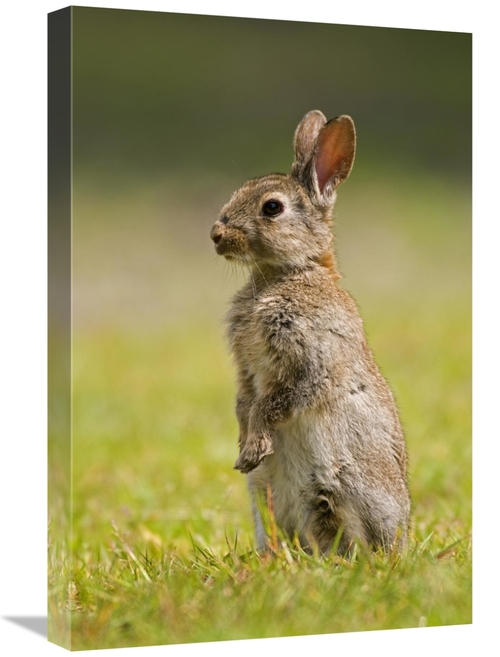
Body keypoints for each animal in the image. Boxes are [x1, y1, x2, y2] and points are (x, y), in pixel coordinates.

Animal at [210, 110, 410, 555]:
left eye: (272, 207)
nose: (216, 235)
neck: (290, 271)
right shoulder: (246, 369)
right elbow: (246, 402)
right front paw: (244, 449)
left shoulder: (310, 359)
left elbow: (274, 402)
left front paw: (254, 447)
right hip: (264, 495)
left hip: (340, 485)